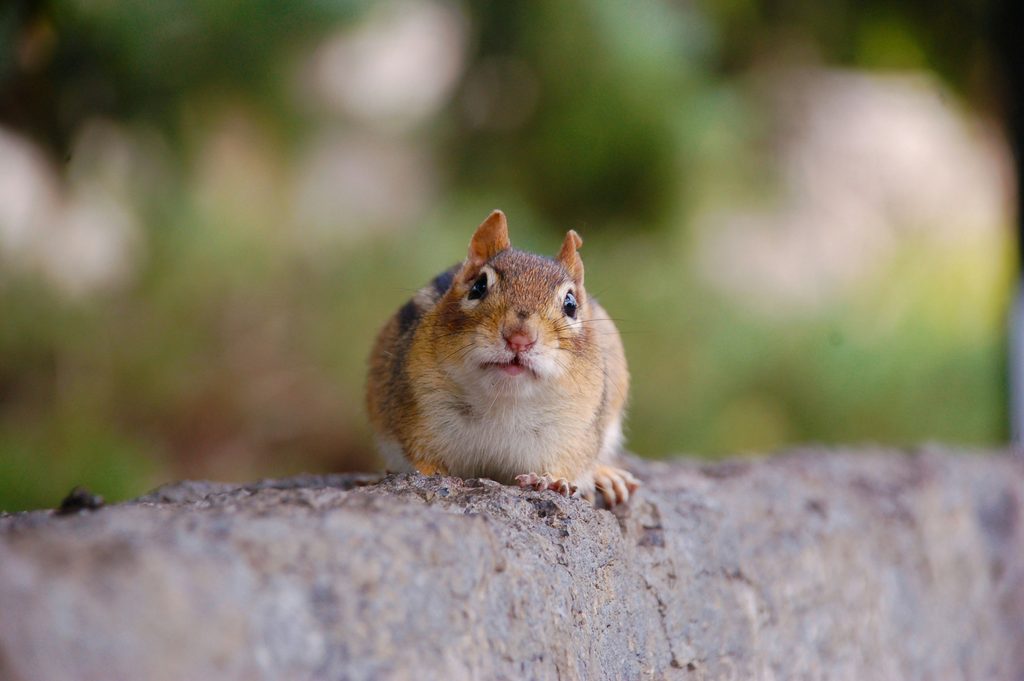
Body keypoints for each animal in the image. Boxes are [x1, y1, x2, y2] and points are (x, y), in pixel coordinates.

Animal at [366, 210, 639, 506]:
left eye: (570, 304)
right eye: (478, 286)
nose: (519, 337)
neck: (505, 403)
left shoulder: (576, 433)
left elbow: (570, 464)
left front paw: (552, 480)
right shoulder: (418, 414)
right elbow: (421, 462)